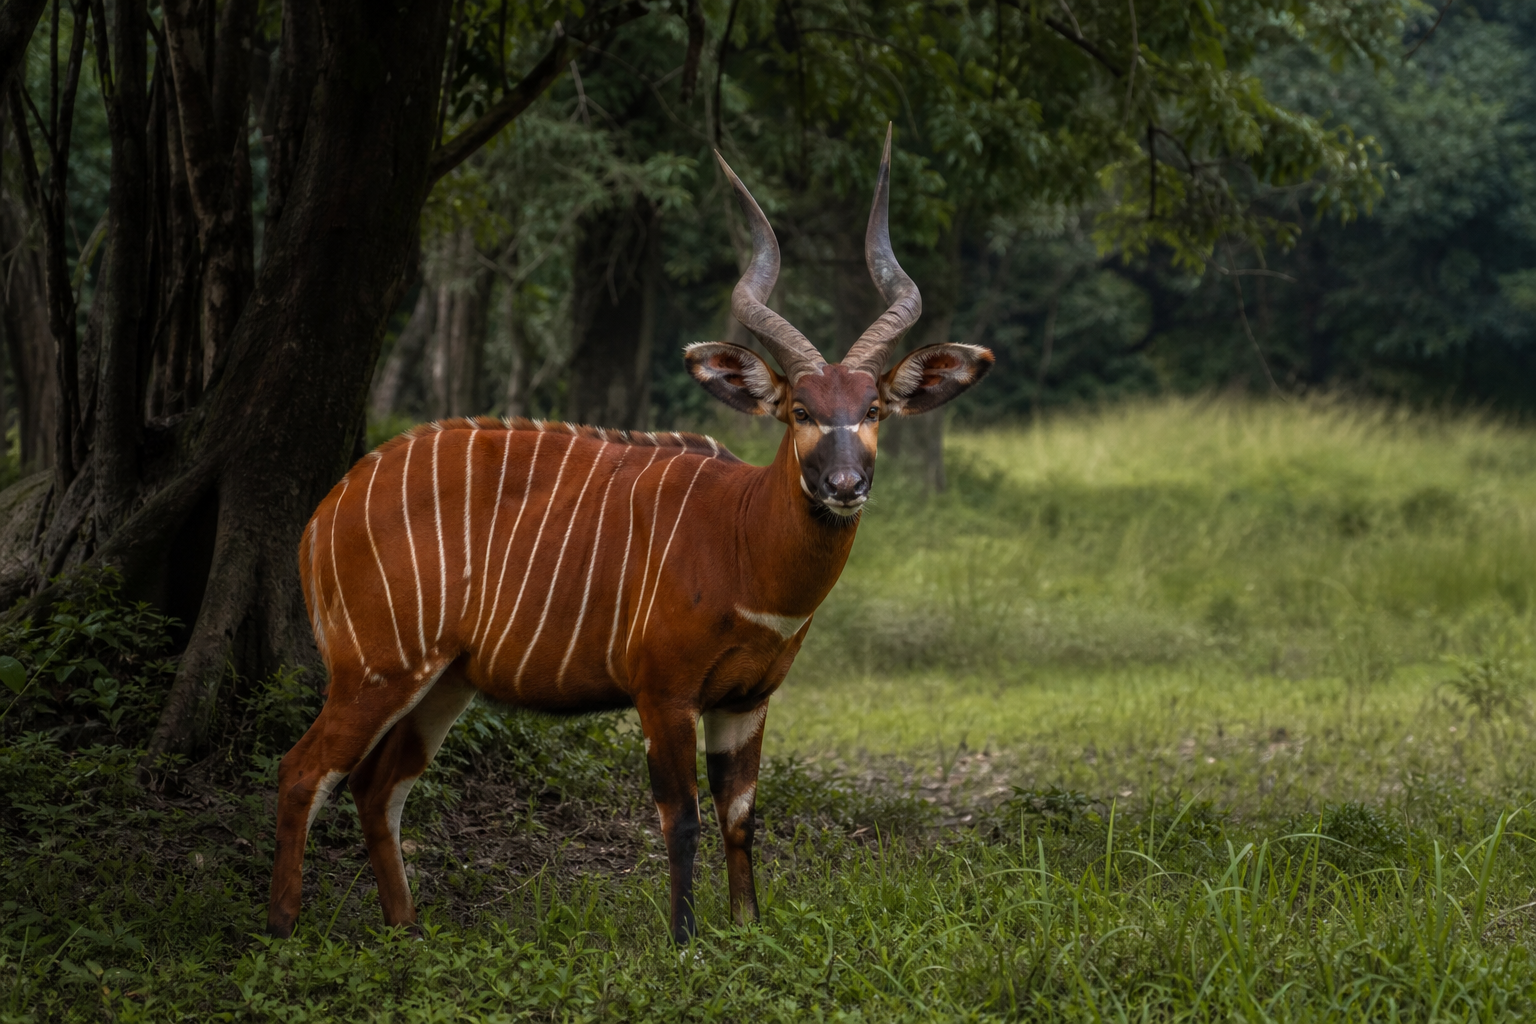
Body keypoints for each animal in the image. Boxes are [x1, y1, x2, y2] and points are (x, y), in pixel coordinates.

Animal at [266, 128, 993, 943]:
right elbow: (681, 819)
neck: (741, 538)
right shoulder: (664, 691)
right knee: (303, 771)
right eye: (800, 411)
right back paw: (284, 932)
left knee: (377, 785)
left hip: (444, 678)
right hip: (375, 667)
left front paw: (745, 930)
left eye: (872, 409)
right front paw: (685, 944)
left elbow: (741, 816)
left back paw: (407, 931)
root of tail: (325, 511)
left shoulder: (747, 700)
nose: (844, 484)